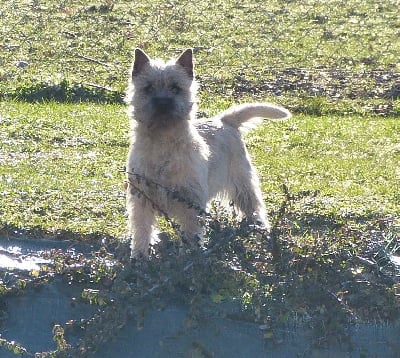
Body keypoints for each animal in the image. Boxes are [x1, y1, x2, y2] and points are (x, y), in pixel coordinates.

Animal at [125, 49, 290, 258]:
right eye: (148, 88)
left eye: (176, 88)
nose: (163, 103)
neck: (162, 142)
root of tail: (224, 120)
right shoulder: (141, 199)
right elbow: (142, 228)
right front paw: (140, 255)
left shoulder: (190, 201)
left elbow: (191, 231)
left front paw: (191, 254)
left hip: (243, 184)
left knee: (254, 208)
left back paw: (260, 231)